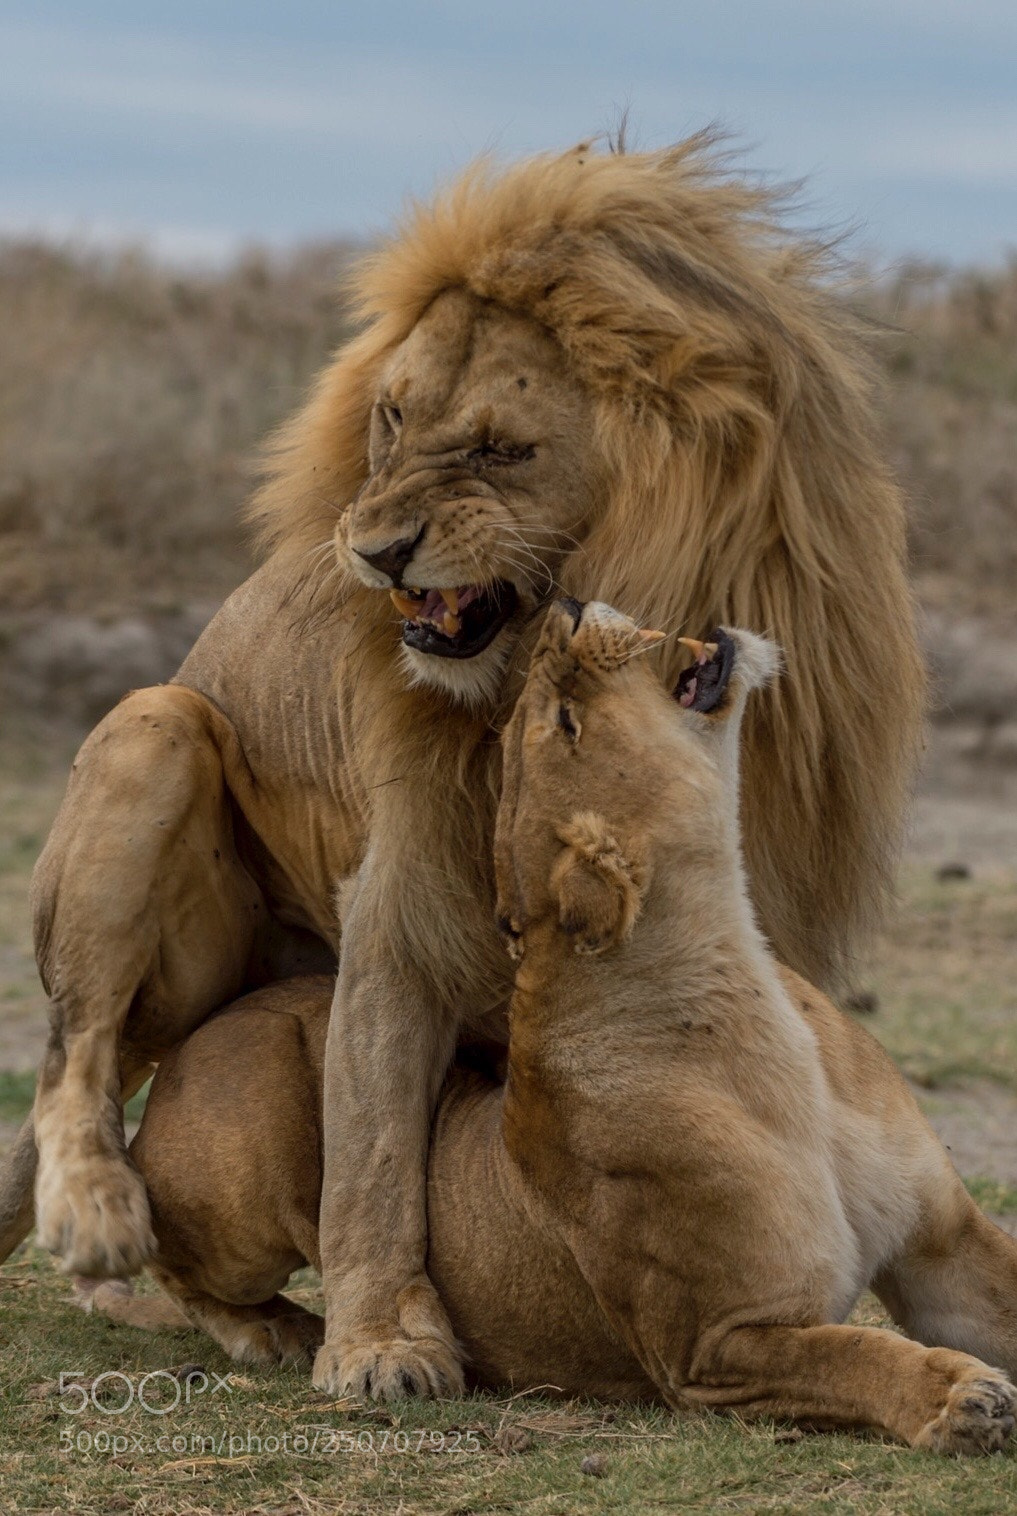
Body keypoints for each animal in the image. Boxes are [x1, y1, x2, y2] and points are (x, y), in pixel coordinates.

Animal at [0, 133, 925, 1401]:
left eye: (499, 448)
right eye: (391, 419)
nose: (375, 551)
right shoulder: (404, 903)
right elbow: (375, 1150)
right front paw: (383, 1340)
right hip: (158, 729)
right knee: (72, 1049)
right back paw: (106, 1217)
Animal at [93, 603, 1017, 1454]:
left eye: (542, 721)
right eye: (566, 720)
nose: (568, 611)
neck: (739, 971)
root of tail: (200, 1033)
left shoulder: (942, 1245)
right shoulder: (710, 1347)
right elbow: (853, 1358)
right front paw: (960, 1398)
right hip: (252, 1171)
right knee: (172, 1260)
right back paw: (276, 1329)